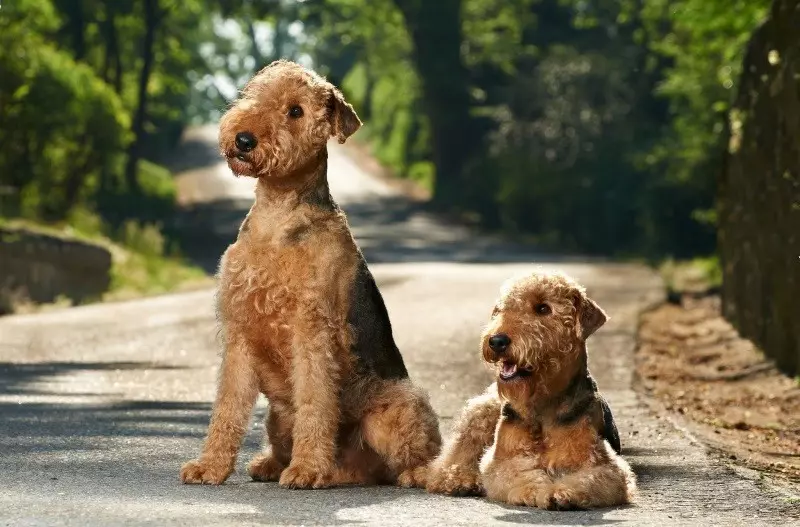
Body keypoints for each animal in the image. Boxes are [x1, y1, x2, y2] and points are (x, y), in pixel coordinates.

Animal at [179, 60, 440, 490]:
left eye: (296, 111)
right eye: (254, 92)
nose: (244, 139)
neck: (277, 217)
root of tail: (353, 467)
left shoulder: (311, 331)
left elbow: (315, 402)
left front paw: (304, 470)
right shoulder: (239, 331)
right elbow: (228, 406)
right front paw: (210, 466)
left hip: (395, 411)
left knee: (411, 457)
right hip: (277, 416)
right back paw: (278, 465)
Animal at [428, 270, 636, 510]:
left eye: (543, 308)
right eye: (501, 309)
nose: (496, 341)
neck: (542, 405)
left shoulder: (604, 464)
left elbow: (588, 478)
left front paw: (563, 492)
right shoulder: (502, 460)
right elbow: (520, 473)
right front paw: (535, 490)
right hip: (482, 415)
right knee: (453, 459)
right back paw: (462, 480)